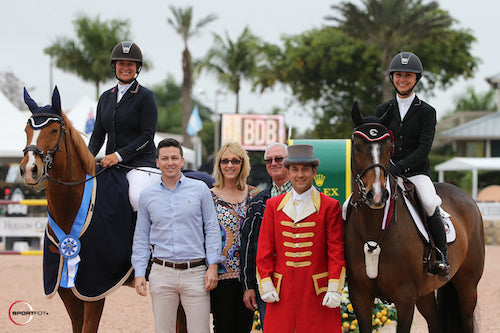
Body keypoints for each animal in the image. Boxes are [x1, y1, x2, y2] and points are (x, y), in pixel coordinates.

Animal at [344, 102, 484, 330]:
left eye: (389, 146)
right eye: (356, 146)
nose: (377, 195)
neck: (373, 227)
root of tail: (464, 195)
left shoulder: (405, 297)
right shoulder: (359, 295)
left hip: (467, 284)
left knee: (466, 320)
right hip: (425, 294)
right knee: (436, 323)